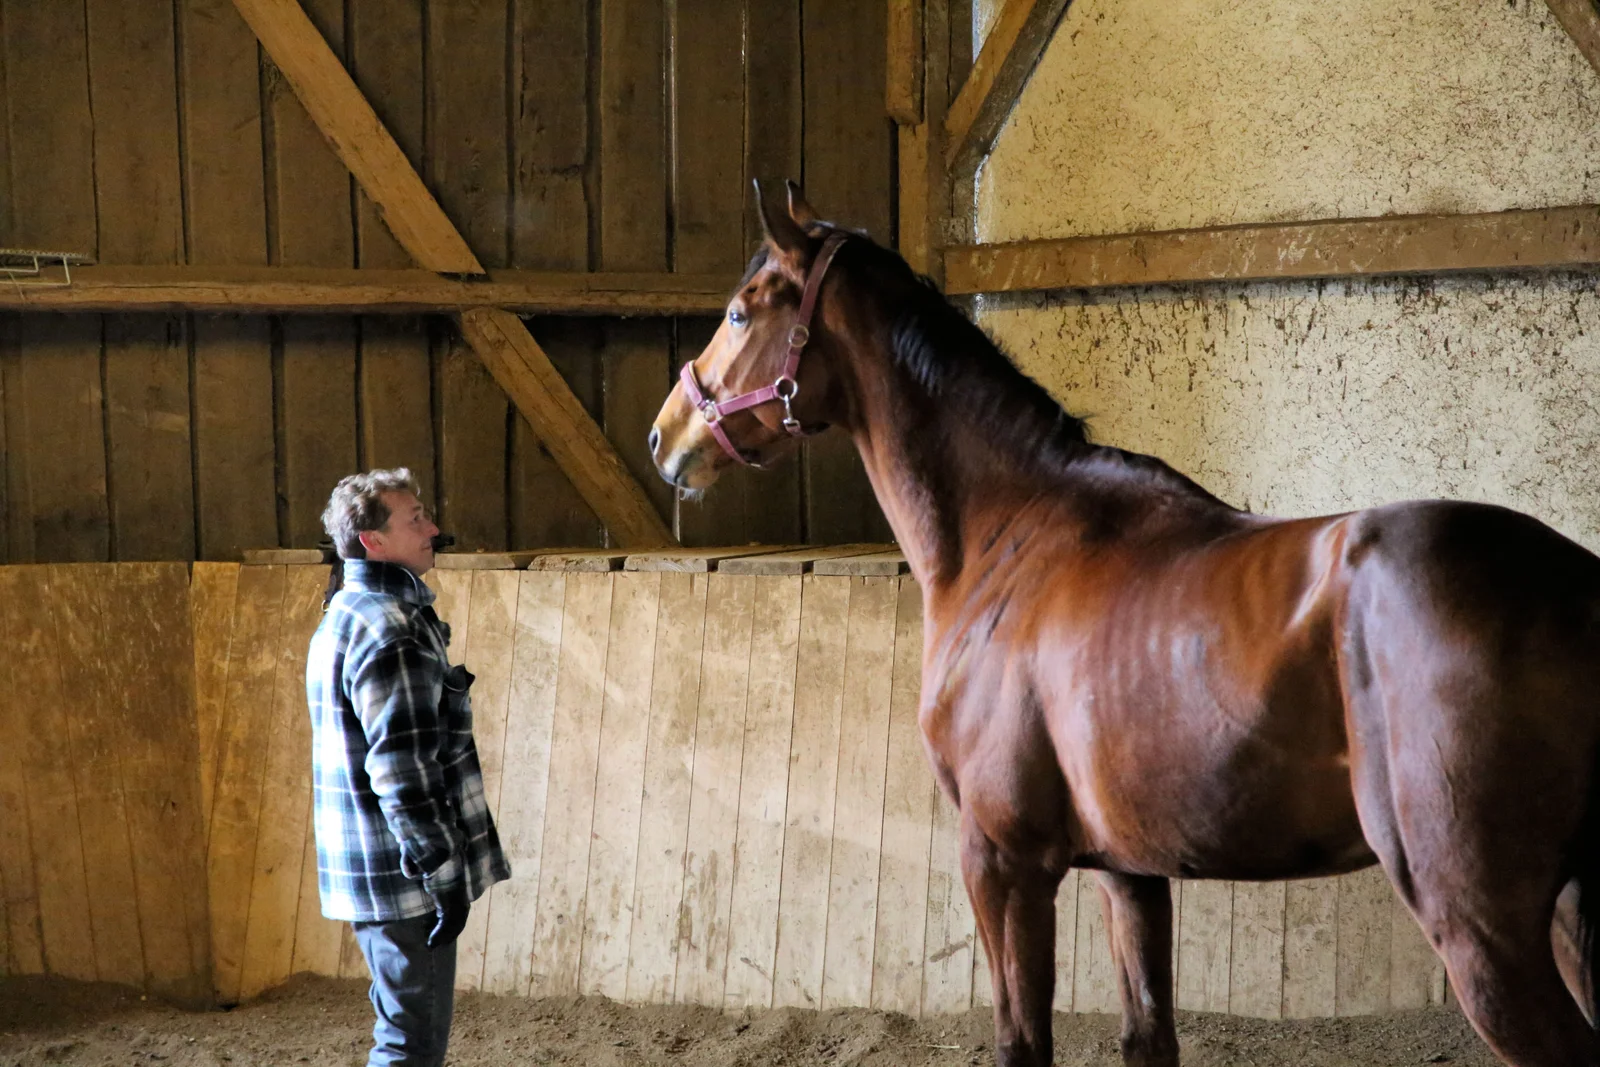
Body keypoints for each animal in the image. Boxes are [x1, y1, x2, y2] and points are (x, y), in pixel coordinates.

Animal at [647, 181, 1600, 1067]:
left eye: (740, 311)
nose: (665, 436)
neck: (1010, 534)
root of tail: (1572, 581)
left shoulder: (1002, 862)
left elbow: (1022, 1041)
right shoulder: (1129, 874)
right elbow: (1148, 1035)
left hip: (1480, 929)